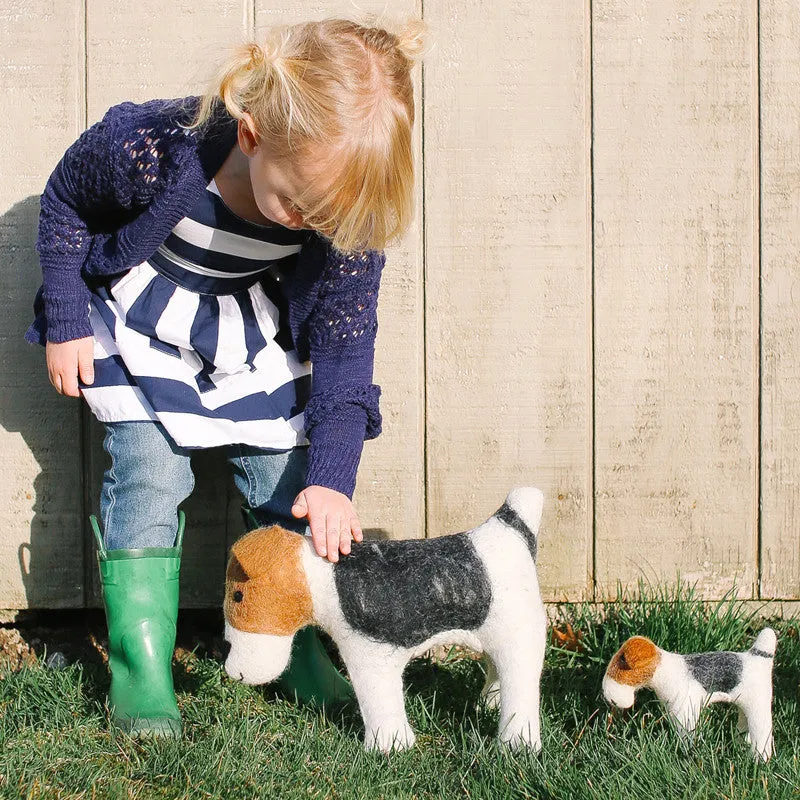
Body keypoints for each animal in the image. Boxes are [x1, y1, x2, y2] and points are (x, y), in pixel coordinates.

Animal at [225, 484, 552, 752]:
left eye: (237, 595)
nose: (234, 672)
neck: (324, 580)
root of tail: (513, 529)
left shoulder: (371, 657)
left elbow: (379, 704)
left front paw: (390, 747)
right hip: (494, 633)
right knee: (498, 671)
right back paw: (488, 707)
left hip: (519, 635)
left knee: (520, 684)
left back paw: (517, 745)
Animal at [608, 628, 776, 760]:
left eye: (623, 663)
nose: (610, 699)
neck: (664, 672)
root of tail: (759, 656)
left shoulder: (685, 713)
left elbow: (688, 736)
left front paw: (688, 754)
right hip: (743, 705)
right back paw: (741, 746)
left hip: (757, 706)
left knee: (762, 733)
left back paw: (759, 760)